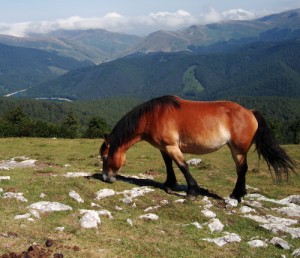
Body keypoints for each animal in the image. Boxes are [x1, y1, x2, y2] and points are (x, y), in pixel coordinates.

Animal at [99, 95, 294, 202]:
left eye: (105, 157)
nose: (105, 178)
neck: (152, 116)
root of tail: (250, 112)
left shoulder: (172, 146)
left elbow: (183, 166)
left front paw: (192, 192)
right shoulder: (164, 147)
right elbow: (169, 165)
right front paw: (169, 184)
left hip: (238, 150)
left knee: (242, 169)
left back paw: (236, 194)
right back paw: (241, 193)